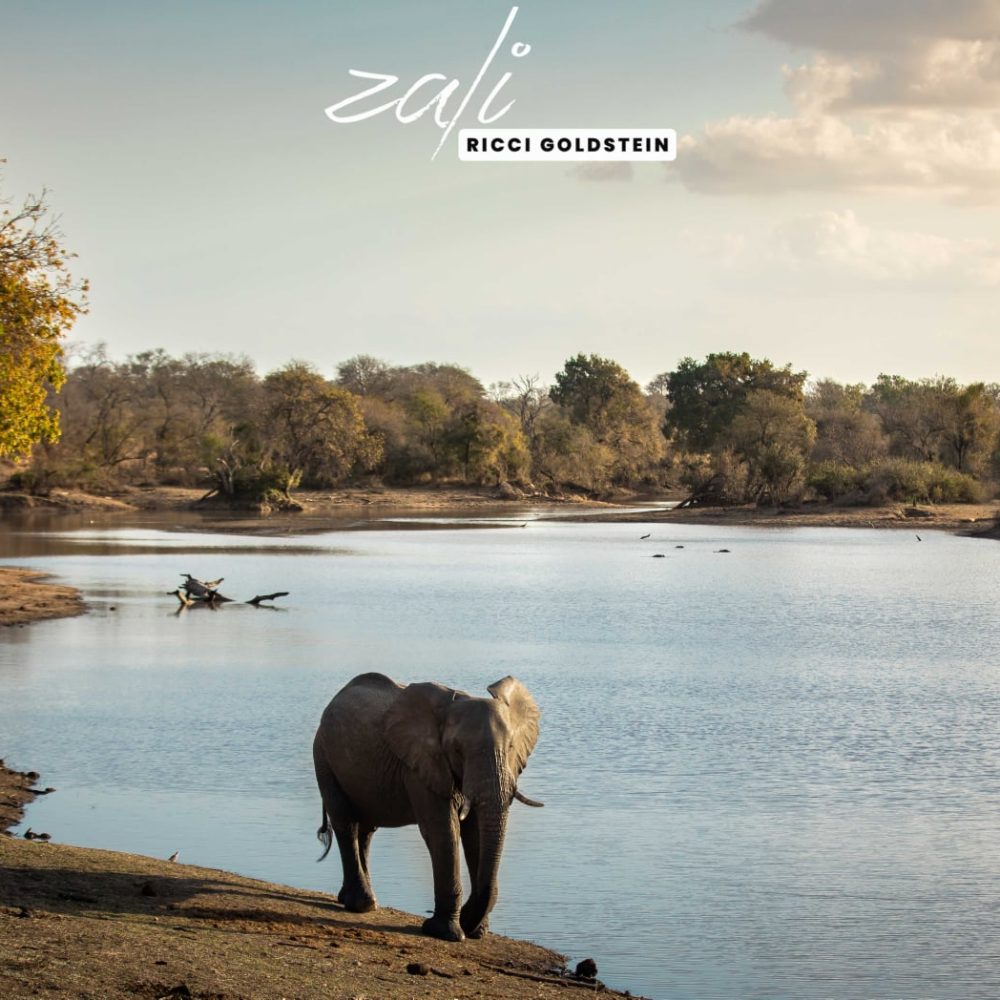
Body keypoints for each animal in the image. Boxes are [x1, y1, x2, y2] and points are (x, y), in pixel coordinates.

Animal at [312, 672, 542, 941]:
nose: (468, 921)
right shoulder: (419, 765)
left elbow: (475, 833)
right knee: (345, 822)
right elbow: (442, 830)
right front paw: (446, 933)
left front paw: (477, 932)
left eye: (510, 747)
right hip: (323, 757)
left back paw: (353, 900)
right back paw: (362, 905)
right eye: (457, 750)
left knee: (366, 830)